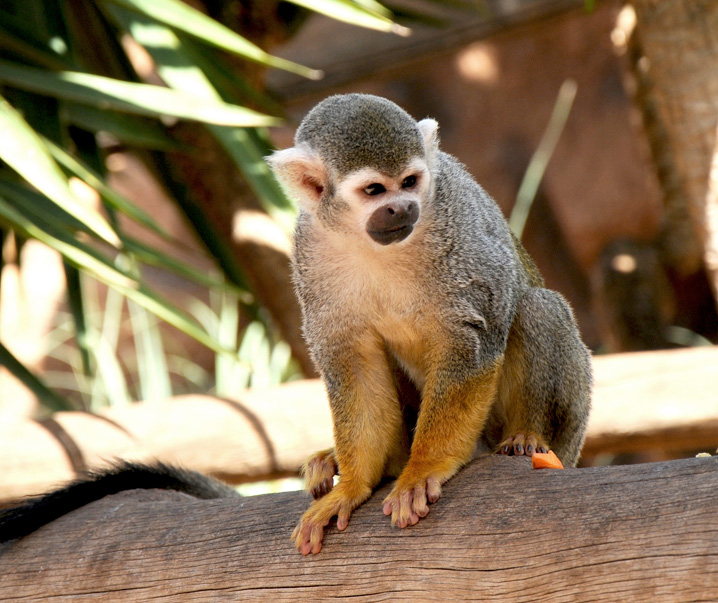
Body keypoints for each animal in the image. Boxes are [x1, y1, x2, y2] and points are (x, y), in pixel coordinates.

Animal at [268, 95, 592, 556]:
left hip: (566, 430)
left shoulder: (459, 224)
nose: (403, 207)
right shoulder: (310, 251)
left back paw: (526, 437)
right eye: (374, 190)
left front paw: (421, 470)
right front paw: (351, 486)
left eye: (410, 181)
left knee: (537, 307)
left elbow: (472, 342)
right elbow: (355, 366)